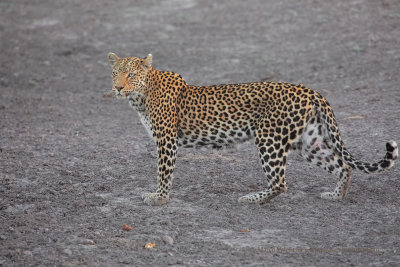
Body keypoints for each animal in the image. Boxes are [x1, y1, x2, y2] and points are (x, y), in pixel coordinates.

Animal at [106, 52, 396, 207]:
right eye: (115, 74)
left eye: (131, 75)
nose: (118, 87)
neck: (141, 96)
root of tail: (309, 90)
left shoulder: (166, 140)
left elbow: (164, 171)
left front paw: (160, 198)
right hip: (308, 142)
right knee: (343, 166)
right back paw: (336, 196)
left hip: (269, 138)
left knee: (280, 182)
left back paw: (252, 199)